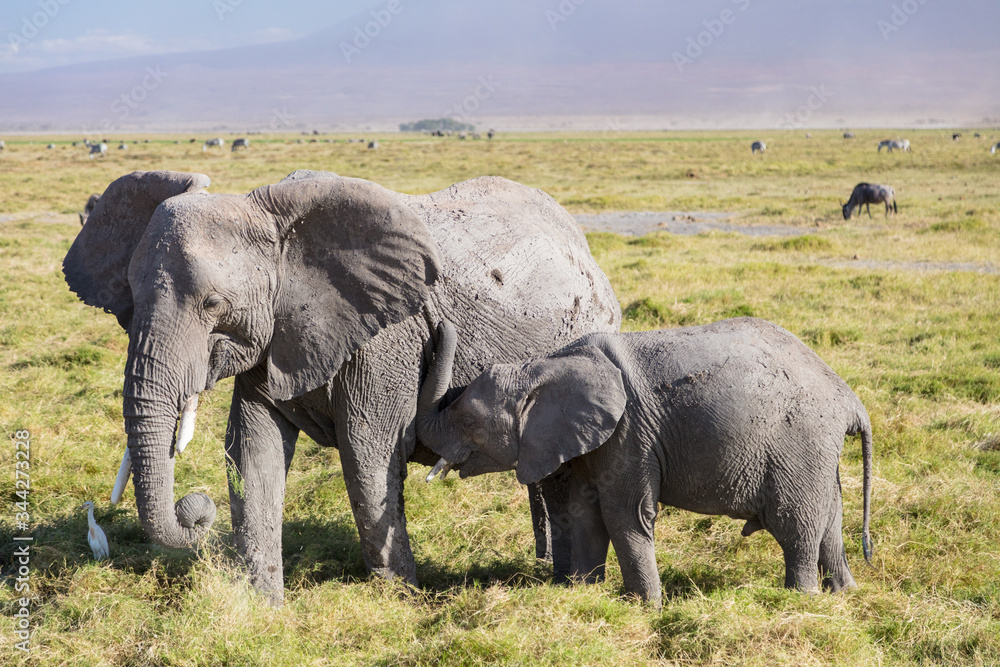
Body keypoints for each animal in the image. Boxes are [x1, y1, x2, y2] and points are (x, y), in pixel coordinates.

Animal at [63, 169, 621, 602]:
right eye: (130, 295)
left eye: (214, 305)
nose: (194, 512)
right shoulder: (277, 333)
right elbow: (252, 449)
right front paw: (266, 608)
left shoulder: (384, 340)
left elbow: (365, 453)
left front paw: (398, 602)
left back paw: (563, 581)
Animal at [418, 317, 873, 606]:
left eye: (469, 420)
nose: (437, 326)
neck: (545, 365)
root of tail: (851, 400)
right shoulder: (595, 440)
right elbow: (584, 512)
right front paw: (583, 595)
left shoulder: (629, 433)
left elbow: (624, 514)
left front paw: (644, 606)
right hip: (817, 452)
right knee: (830, 518)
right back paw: (844, 593)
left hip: (799, 443)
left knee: (794, 522)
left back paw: (800, 598)